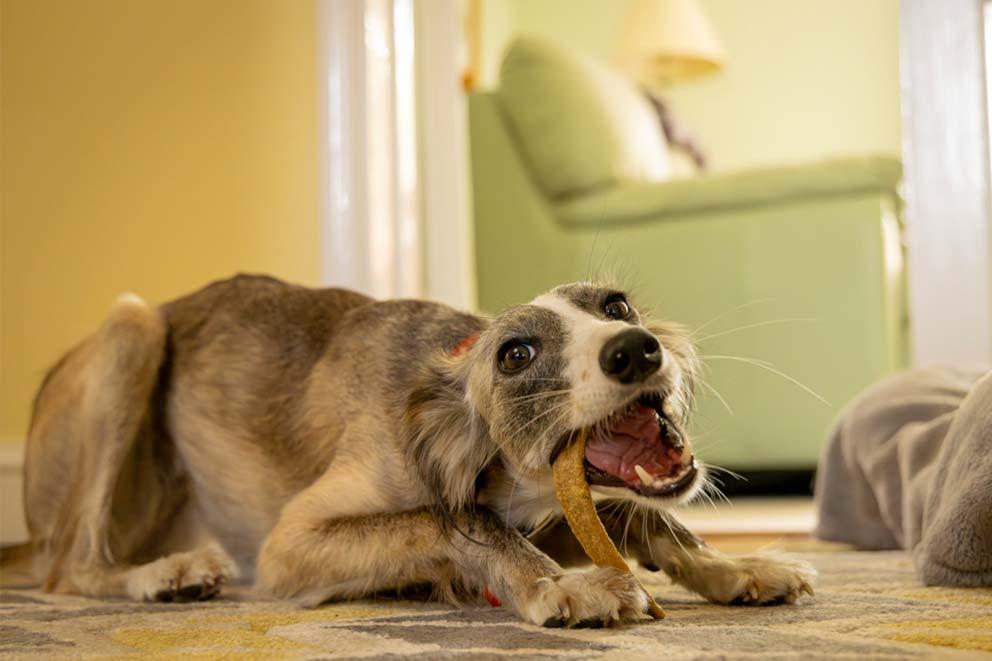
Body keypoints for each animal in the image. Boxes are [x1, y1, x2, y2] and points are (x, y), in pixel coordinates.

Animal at [1, 276, 812, 628]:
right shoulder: (288, 547)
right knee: (68, 569)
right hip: (133, 326)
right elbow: (450, 520)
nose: (637, 348)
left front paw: (742, 566)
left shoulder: (555, 504)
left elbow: (646, 518)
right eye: (516, 354)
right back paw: (162, 574)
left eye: (615, 305)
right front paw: (559, 584)